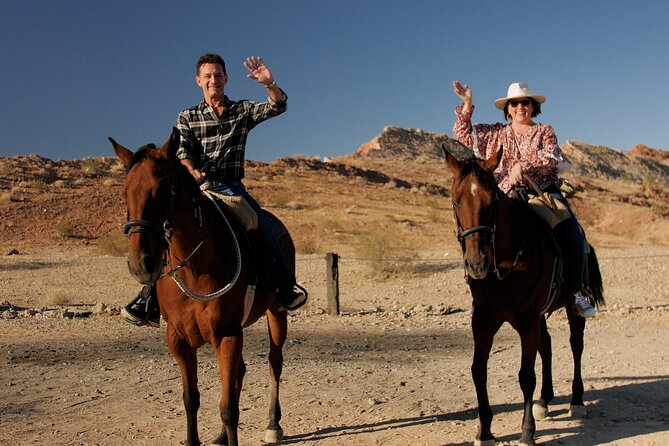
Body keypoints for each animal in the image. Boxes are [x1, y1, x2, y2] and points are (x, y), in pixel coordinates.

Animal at [109, 129, 292, 446]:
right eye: (124, 193)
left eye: (164, 189)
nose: (141, 264)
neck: (196, 266)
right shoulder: (178, 340)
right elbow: (190, 399)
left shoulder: (227, 335)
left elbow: (228, 408)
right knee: (240, 372)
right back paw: (220, 436)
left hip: (276, 313)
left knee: (274, 362)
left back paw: (273, 424)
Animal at [444, 147, 604, 446]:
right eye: (455, 200)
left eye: (492, 200)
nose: (477, 263)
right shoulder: (483, 320)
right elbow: (478, 370)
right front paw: (484, 431)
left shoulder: (527, 320)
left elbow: (526, 375)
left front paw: (527, 432)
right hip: (539, 315)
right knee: (547, 345)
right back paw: (544, 400)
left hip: (569, 310)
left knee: (576, 345)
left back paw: (576, 401)